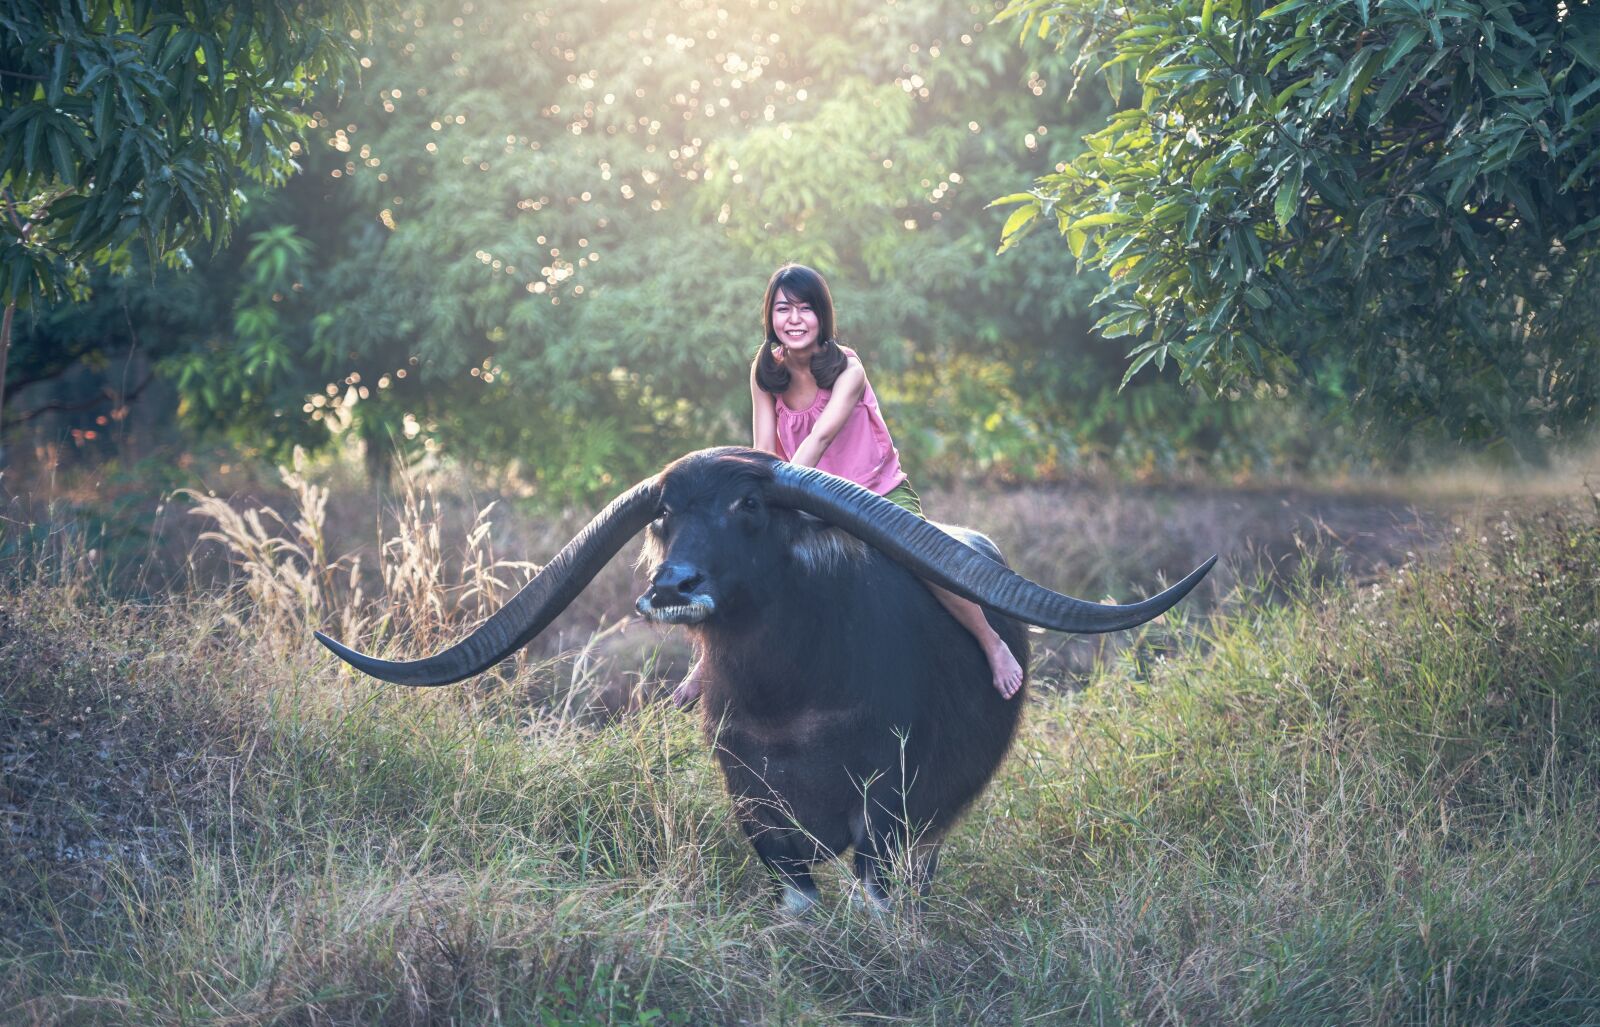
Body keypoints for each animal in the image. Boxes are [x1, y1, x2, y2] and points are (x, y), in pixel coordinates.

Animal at [316, 447, 1215, 911]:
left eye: (748, 506)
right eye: (663, 514)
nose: (672, 585)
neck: (790, 698)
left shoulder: (886, 809)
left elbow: (876, 891)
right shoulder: (752, 799)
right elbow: (796, 891)